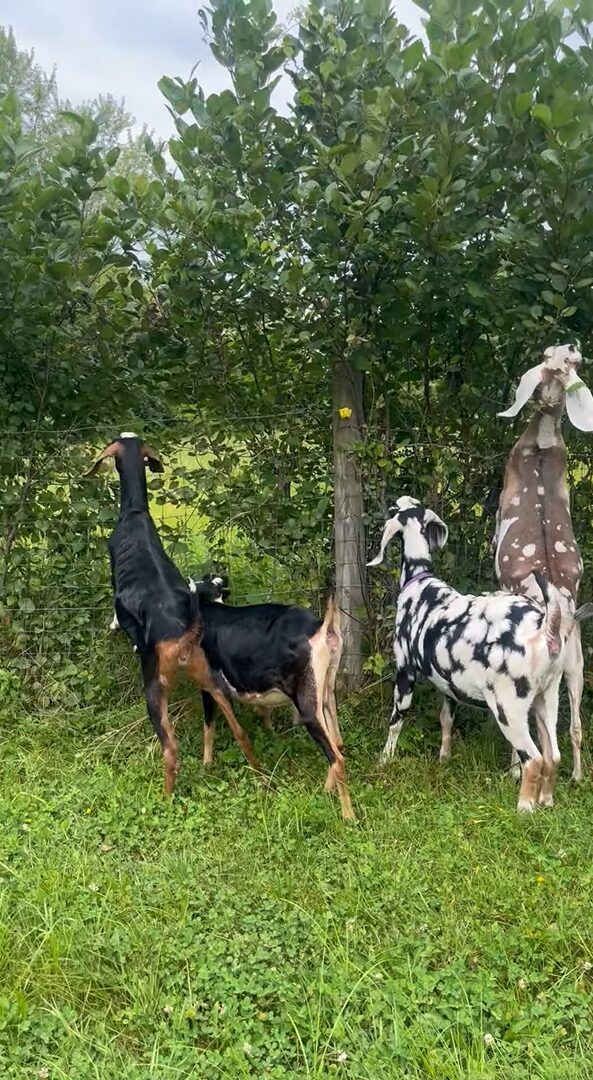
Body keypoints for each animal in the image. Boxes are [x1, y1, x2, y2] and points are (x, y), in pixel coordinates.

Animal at [86, 434, 265, 794]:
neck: (135, 512)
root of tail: (184, 636)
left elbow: (117, 613)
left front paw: (114, 627)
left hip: (156, 689)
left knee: (171, 748)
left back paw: (165, 796)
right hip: (213, 683)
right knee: (239, 732)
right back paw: (261, 777)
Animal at [192, 592, 353, 820]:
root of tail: (322, 626)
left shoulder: (208, 686)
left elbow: (210, 727)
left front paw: (206, 766)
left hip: (307, 705)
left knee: (337, 758)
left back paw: (348, 817)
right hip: (326, 693)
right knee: (337, 742)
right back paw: (326, 789)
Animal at [367, 496, 591, 811]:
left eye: (399, 509)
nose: (392, 503)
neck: (420, 581)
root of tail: (545, 626)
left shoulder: (405, 672)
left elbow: (396, 721)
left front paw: (384, 759)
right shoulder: (447, 685)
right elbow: (446, 720)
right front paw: (444, 757)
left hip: (509, 709)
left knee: (533, 759)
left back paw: (524, 809)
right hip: (548, 697)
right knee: (553, 755)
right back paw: (545, 802)